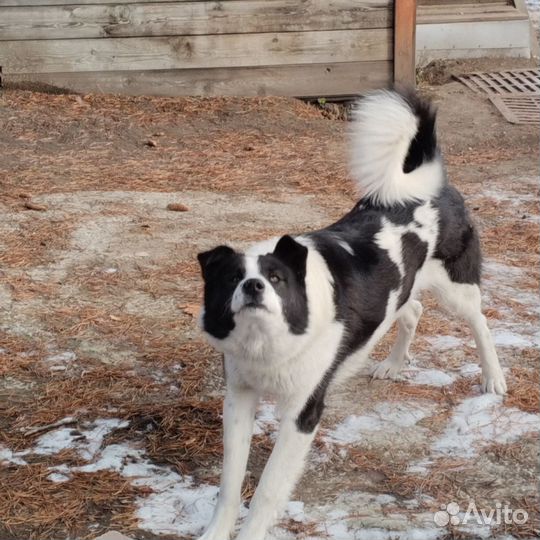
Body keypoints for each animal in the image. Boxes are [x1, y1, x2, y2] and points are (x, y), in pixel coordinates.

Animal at [197, 90, 506, 536]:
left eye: (275, 278)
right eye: (233, 277)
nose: (253, 286)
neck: (269, 341)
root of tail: (432, 186)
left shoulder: (303, 412)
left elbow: (269, 489)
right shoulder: (238, 399)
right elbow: (229, 482)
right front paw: (216, 531)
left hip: (456, 289)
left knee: (479, 320)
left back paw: (493, 376)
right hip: (404, 289)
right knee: (411, 309)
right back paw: (393, 364)